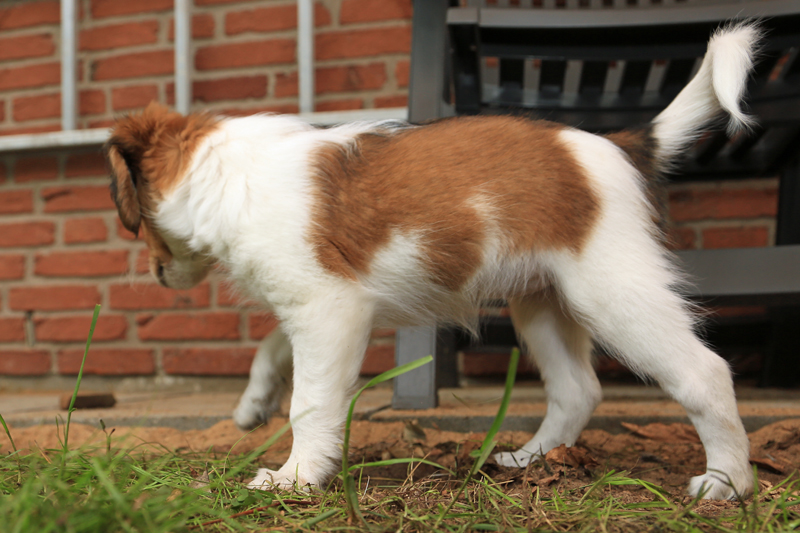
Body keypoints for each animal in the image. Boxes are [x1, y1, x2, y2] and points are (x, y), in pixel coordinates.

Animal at [109, 23, 760, 498]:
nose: (156, 274)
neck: (225, 175)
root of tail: (621, 145)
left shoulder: (326, 308)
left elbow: (310, 402)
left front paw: (296, 477)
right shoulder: (321, 302)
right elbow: (273, 349)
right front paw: (253, 405)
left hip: (612, 289)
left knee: (704, 373)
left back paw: (727, 483)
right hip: (544, 302)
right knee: (578, 390)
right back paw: (529, 461)